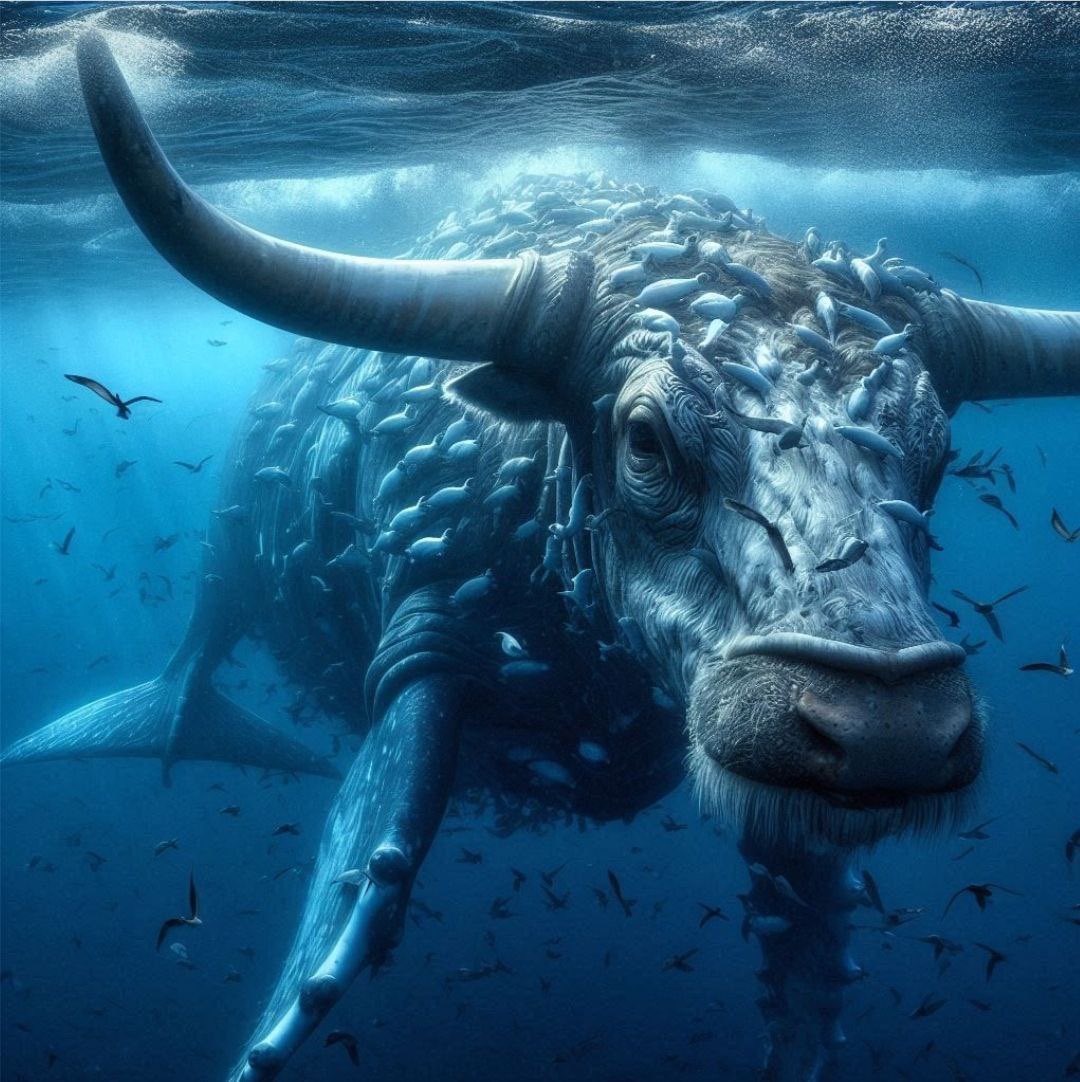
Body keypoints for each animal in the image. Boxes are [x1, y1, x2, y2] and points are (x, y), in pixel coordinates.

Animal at [5, 34, 1078, 1081]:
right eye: (644, 440)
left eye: (937, 451)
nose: (890, 727)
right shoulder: (430, 605)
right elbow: (380, 839)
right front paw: (275, 1032)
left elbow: (810, 915)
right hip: (229, 558)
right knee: (199, 651)